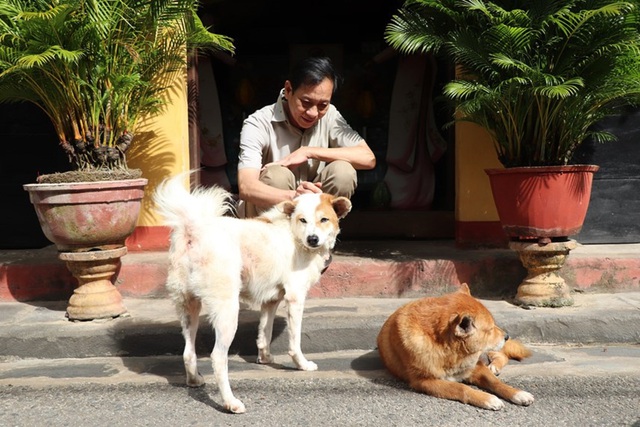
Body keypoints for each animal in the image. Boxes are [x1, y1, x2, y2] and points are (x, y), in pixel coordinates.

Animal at [153, 175, 352, 414]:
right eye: (303, 220)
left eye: (324, 219)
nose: (312, 239)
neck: (292, 232)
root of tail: (194, 231)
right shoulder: (295, 297)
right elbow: (294, 342)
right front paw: (302, 364)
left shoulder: (271, 300)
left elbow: (264, 332)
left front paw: (265, 358)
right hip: (228, 312)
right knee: (218, 357)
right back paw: (231, 402)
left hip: (188, 306)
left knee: (188, 352)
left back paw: (194, 380)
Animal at [376, 284, 536, 412]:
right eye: (490, 329)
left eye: (493, 325)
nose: (507, 336)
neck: (451, 352)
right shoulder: (424, 381)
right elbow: (461, 388)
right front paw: (488, 399)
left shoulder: (476, 366)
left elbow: (495, 382)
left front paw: (517, 393)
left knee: (502, 355)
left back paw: (494, 366)